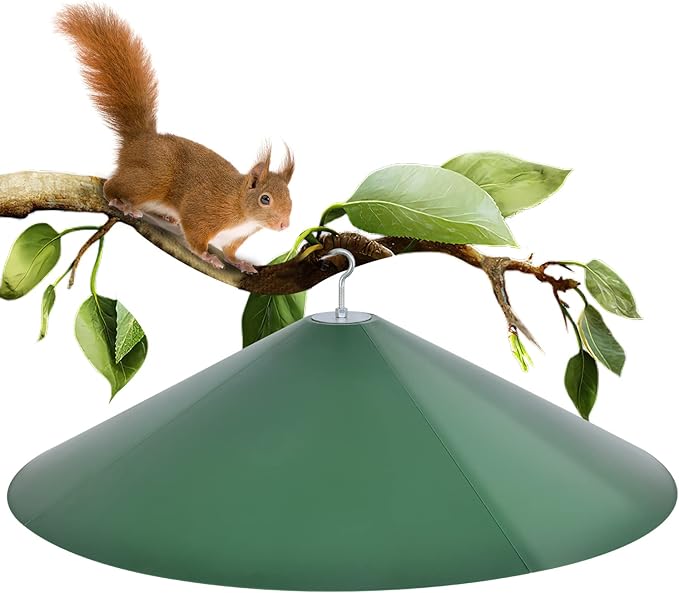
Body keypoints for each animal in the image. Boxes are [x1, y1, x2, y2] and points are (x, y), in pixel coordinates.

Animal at [55, 5, 293, 273]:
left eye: (290, 196)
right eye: (265, 199)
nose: (285, 224)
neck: (241, 207)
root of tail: (140, 140)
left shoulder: (235, 238)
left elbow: (231, 253)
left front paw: (240, 263)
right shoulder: (202, 211)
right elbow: (195, 235)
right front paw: (207, 256)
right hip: (151, 179)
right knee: (110, 186)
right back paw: (122, 203)